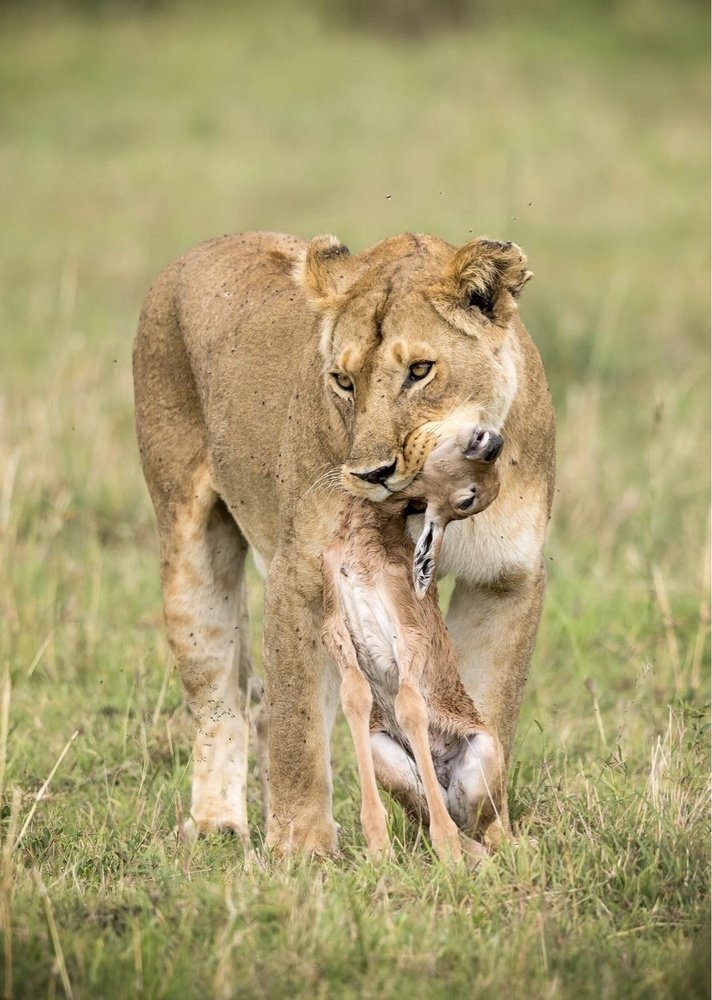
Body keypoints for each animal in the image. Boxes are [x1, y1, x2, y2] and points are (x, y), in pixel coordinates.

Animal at [133, 231, 555, 854]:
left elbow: (491, 709)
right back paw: (218, 824)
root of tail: (197, 249)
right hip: (191, 552)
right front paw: (301, 851)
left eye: (421, 370)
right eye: (343, 381)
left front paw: (490, 832)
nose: (372, 473)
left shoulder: (507, 578)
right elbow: (299, 729)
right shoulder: (301, 576)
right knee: (222, 701)